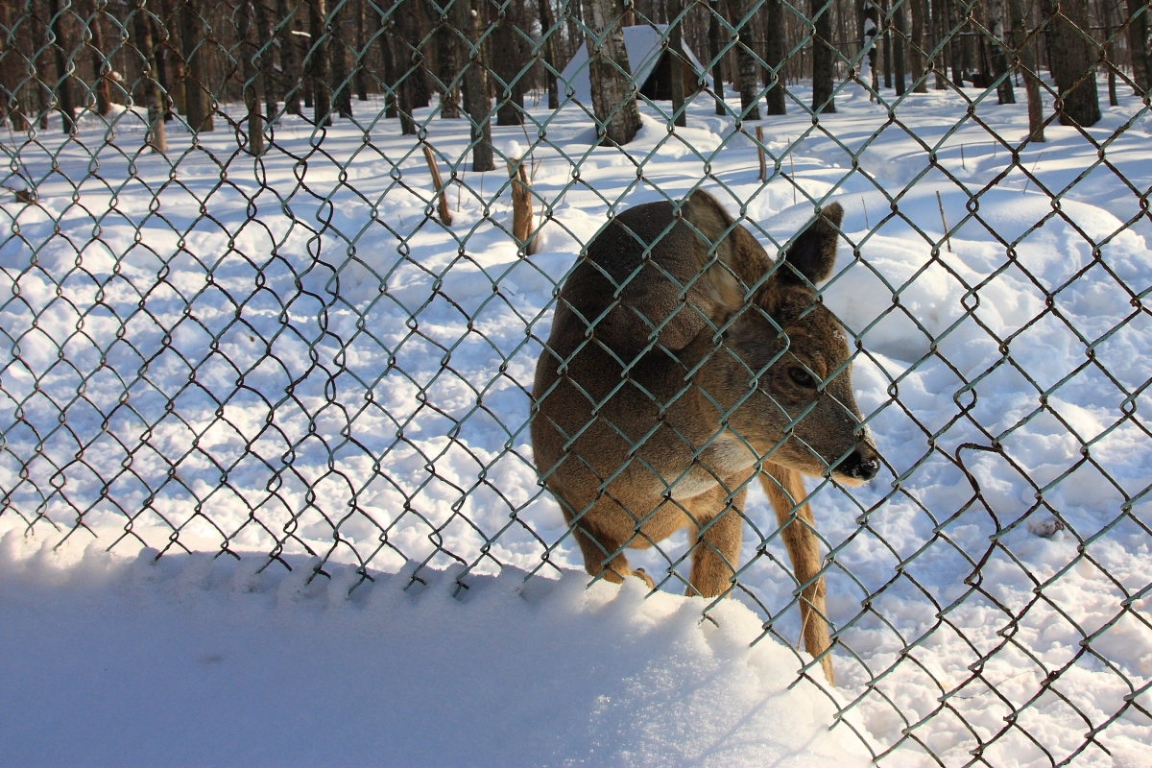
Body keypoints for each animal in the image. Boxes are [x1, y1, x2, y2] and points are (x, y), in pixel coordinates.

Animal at [529, 187, 880, 686]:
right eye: (800, 373)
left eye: (850, 360)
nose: (866, 461)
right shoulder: (559, 482)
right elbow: (604, 568)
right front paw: (641, 583)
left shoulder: (728, 495)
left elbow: (707, 596)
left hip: (771, 463)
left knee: (808, 555)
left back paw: (824, 680)